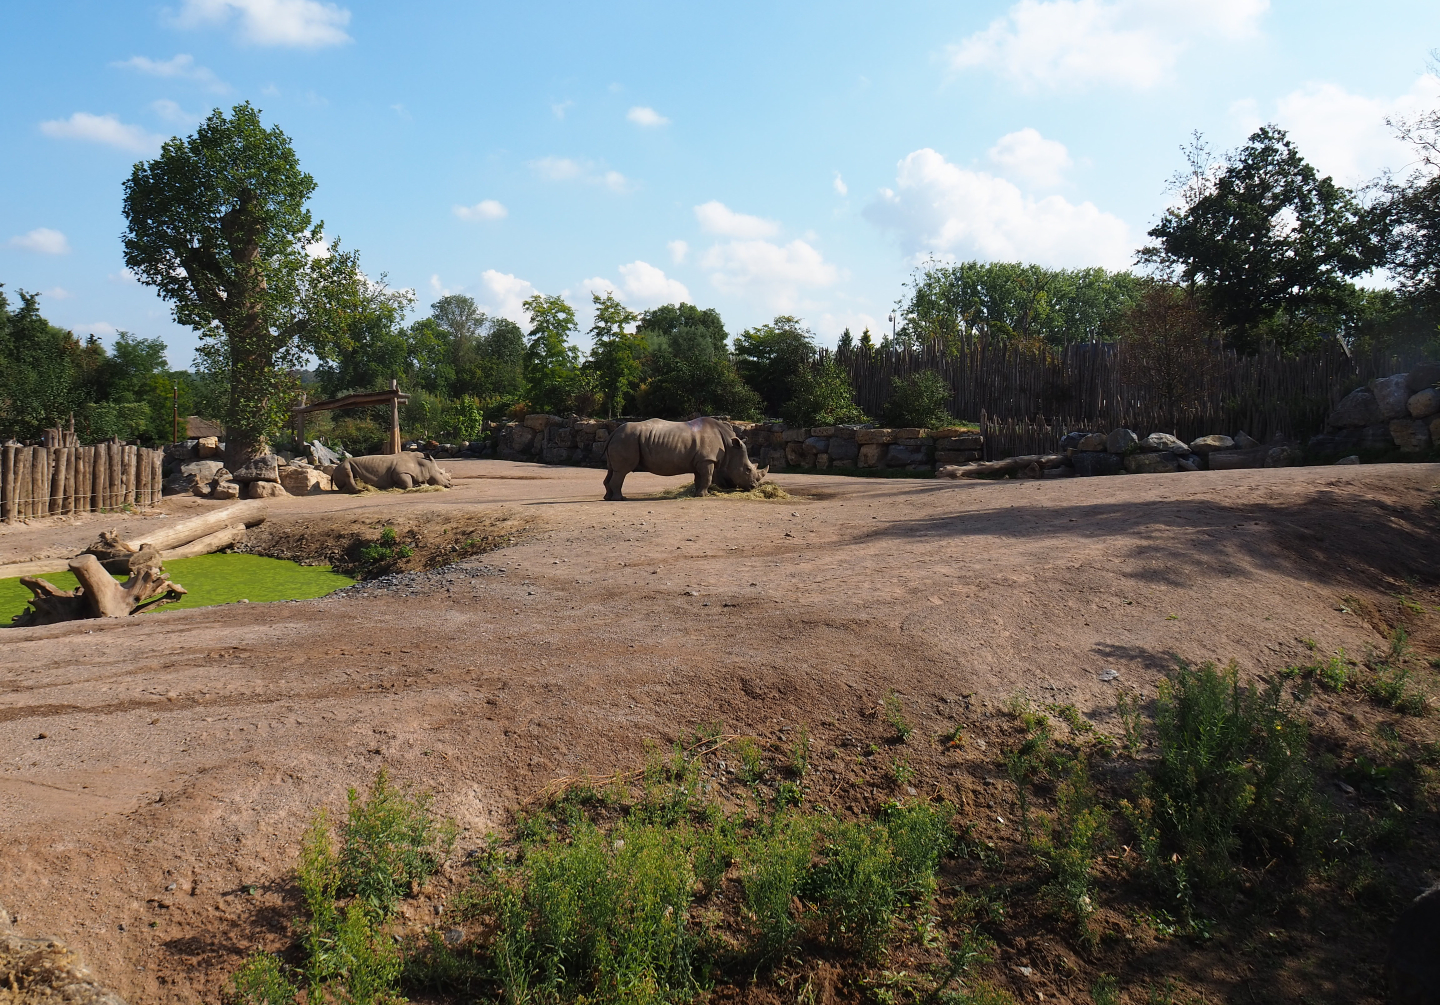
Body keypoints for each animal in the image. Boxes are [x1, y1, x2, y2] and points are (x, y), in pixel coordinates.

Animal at [603, 417, 768, 501]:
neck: (730, 448)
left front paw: (697, 494)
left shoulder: (700, 461)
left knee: (612, 470)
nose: (754, 487)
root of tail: (614, 432)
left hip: (622, 439)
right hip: (626, 439)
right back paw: (620, 499)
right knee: (622, 471)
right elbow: (707, 477)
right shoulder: (707, 460)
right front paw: (704, 495)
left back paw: (608, 497)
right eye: (747, 469)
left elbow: (699, 478)